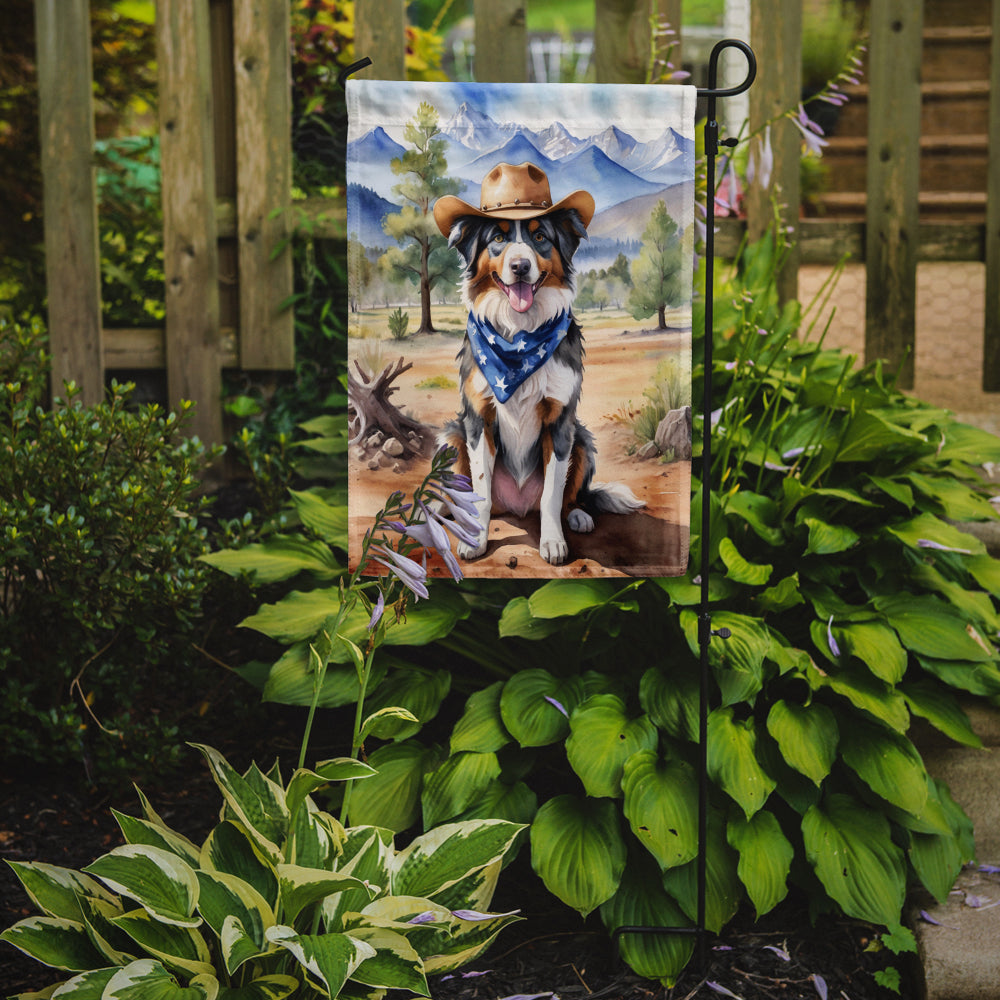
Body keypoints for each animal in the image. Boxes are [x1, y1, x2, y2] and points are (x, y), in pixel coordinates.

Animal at [434, 162, 644, 564]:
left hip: (582, 440)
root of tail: (516, 507)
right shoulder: (478, 418)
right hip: (451, 437)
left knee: (568, 498)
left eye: (541, 237)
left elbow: (551, 495)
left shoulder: (560, 420)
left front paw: (553, 543)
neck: (519, 337)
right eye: (498, 238)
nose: (519, 266)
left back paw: (577, 516)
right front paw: (476, 540)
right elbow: (480, 492)